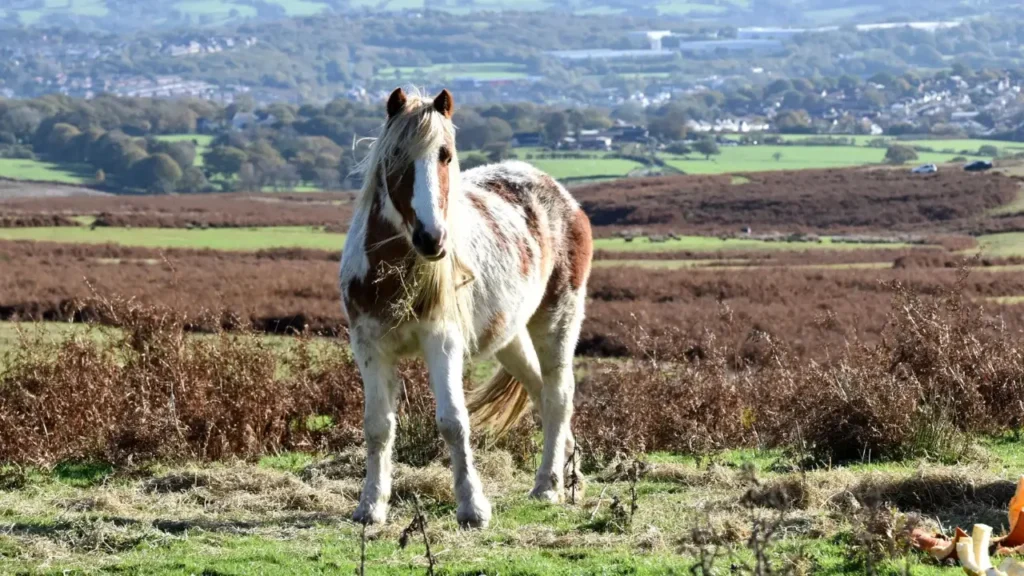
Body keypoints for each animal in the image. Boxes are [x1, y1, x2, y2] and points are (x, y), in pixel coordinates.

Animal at [339, 87, 593, 529]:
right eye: (395, 156)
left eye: (445, 155)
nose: (432, 238)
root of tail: (560, 194)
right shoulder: (369, 346)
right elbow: (377, 426)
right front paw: (371, 506)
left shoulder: (443, 342)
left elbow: (454, 422)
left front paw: (472, 507)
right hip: (510, 336)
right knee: (540, 393)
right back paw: (568, 474)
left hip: (558, 320)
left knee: (559, 396)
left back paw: (547, 486)